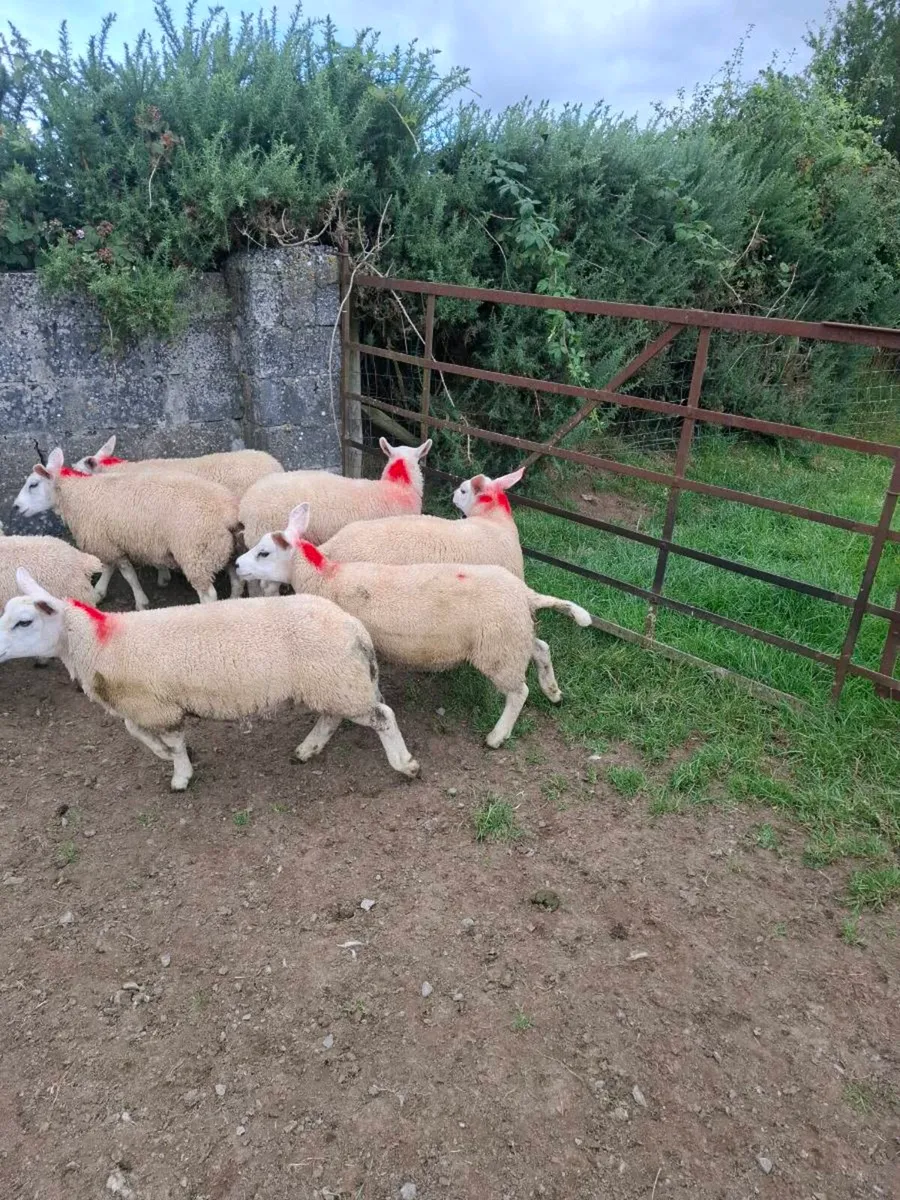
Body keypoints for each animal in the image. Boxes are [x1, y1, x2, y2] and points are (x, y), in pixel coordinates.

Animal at [1, 569, 420, 790]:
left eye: (25, 622)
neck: (98, 644)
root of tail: (354, 626)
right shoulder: (146, 704)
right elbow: (136, 732)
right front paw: (165, 755)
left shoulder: (158, 705)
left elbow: (171, 741)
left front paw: (180, 774)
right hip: (328, 682)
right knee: (332, 717)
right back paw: (307, 749)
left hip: (336, 680)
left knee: (382, 716)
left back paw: (404, 764)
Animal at [13, 448, 241, 610]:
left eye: (33, 484)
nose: (15, 507)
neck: (77, 494)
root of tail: (228, 512)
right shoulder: (109, 540)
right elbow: (109, 568)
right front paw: (99, 592)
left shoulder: (106, 543)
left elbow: (126, 573)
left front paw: (140, 601)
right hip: (225, 550)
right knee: (237, 581)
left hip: (196, 553)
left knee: (208, 595)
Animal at [236, 503, 592, 748]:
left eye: (264, 552)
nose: (237, 565)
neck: (325, 576)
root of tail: (524, 593)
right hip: (509, 636)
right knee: (541, 649)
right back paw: (554, 693)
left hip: (498, 649)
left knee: (519, 692)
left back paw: (497, 736)